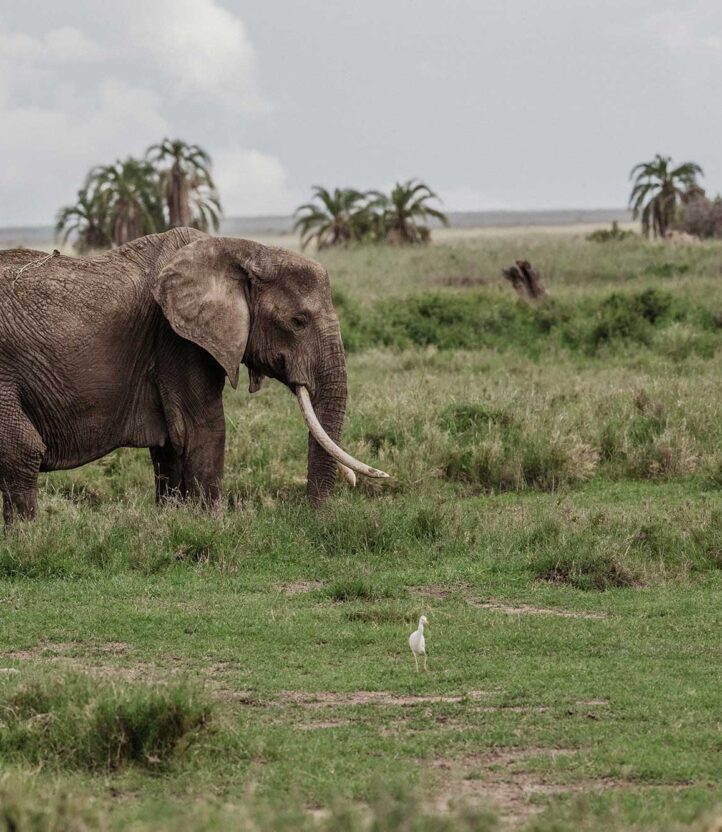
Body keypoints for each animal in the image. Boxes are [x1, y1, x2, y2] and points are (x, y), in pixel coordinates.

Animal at [0, 228, 388, 528]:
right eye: (298, 322)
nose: (317, 518)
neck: (243, 250)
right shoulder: (177, 338)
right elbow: (200, 429)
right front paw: (212, 525)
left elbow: (171, 442)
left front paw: (173, 522)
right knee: (21, 449)